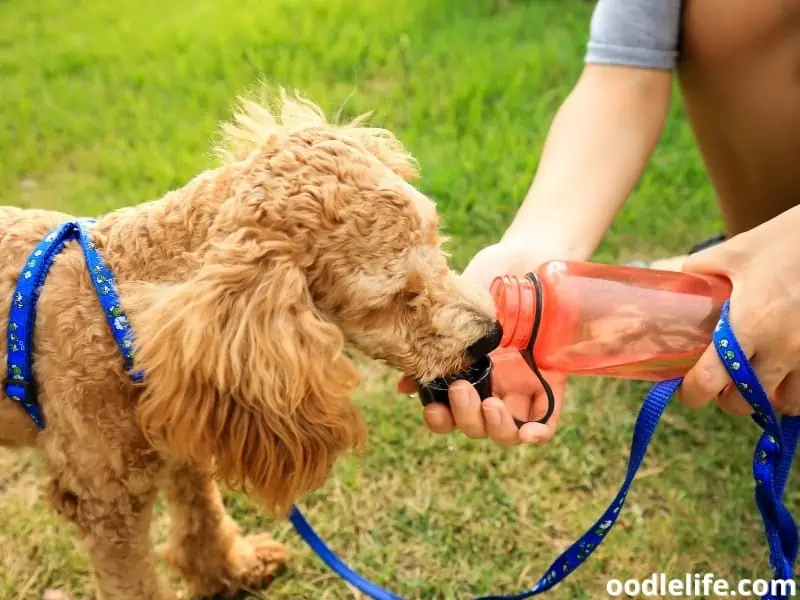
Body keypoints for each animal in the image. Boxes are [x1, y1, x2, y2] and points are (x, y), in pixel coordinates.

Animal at [0, 90, 500, 600]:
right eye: (392, 300)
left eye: (435, 236)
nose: (491, 335)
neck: (119, 310)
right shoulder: (105, 502)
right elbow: (134, 581)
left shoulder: (184, 433)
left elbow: (203, 517)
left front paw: (230, 572)